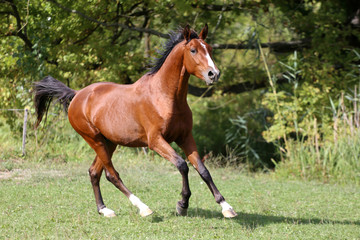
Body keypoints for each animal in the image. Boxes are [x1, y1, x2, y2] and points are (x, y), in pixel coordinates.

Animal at [33, 24, 236, 218]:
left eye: (209, 48)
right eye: (193, 50)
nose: (213, 74)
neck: (165, 97)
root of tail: (77, 95)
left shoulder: (185, 138)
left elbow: (203, 170)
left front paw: (226, 207)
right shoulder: (155, 141)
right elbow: (182, 165)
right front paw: (182, 205)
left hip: (109, 142)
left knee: (94, 172)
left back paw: (104, 210)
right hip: (94, 139)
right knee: (112, 174)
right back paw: (143, 208)